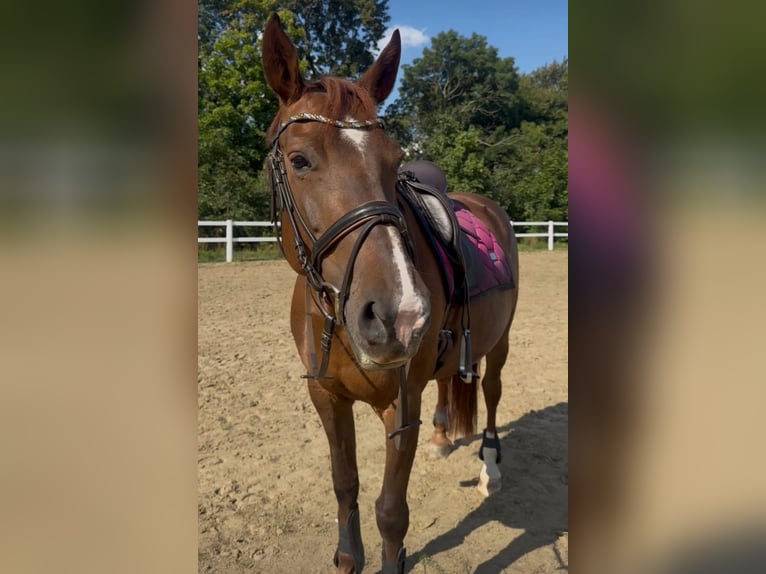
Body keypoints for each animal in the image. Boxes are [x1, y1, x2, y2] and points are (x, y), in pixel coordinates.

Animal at [261, 14, 519, 574]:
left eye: (395, 159)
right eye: (299, 160)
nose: (401, 315)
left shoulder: (401, 406)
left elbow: (391, 513)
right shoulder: (326, 397)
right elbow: (345, 485)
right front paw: (346, 555)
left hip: (501, 340)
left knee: (491, 392)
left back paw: (490, 467)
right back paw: (444, 436)